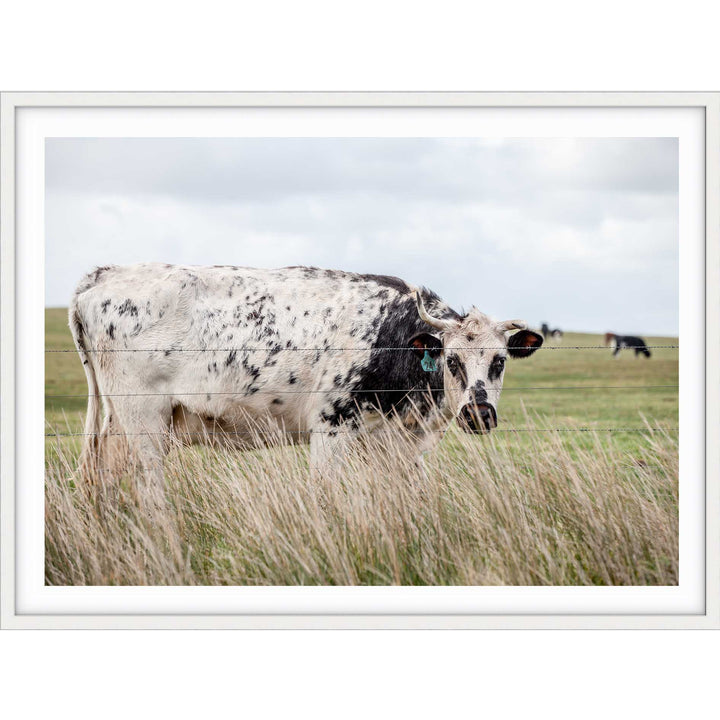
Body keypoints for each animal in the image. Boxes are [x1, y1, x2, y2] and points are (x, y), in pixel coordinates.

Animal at [70, 263, 543, 498]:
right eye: (452, 359)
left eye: (500, 360)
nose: (478, 413)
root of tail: (105, 274)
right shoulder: (332, 426)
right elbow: (325, 492)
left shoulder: (395, 445)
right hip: (144, 420)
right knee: (150, 487)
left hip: (116, 423)